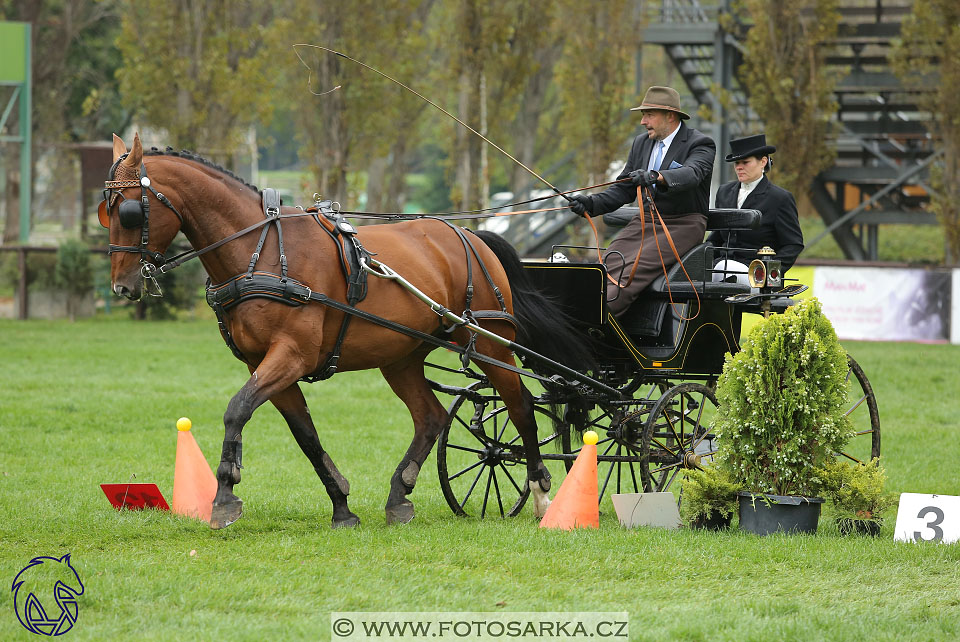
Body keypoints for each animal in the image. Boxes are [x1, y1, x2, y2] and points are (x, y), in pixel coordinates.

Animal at [101, 132, 588, 528]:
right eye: (106, 213)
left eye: (129, 212)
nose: (122, 286)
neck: (260, 250)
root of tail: (469, 234)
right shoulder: (265, 364)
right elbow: (305, 435)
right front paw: (341, 505)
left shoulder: (291, 356)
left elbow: (236, 410)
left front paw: (224, 497)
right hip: (401, 357)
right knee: (430, 417)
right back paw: (399, 496)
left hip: (491, 343)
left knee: (521, 407)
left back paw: (542, 494)